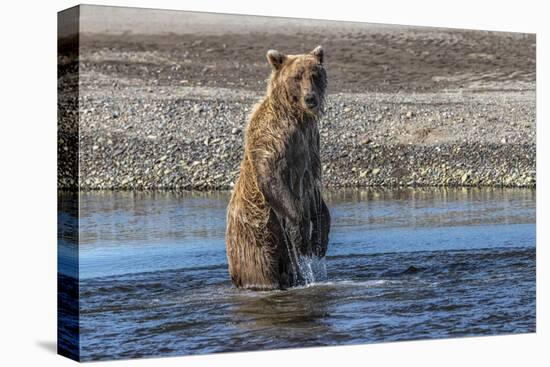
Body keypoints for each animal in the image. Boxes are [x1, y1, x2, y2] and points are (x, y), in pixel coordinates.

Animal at [225, 46, 332, 292]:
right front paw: (301, 234)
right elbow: (272, 178)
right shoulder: (273, 138)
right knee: (261, 269)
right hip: (258, 238)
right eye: (296, 77)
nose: (310, 98)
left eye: (315, 74)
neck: (296, 117)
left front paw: (318, 242)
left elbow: (316, 195)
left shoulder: (310, 147)